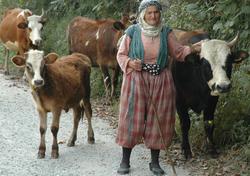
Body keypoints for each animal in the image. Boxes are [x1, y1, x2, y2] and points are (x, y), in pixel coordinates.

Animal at [173, 29, 249, 159]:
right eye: (206, 64)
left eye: (229, 62)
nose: (223, 86)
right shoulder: (179, 100)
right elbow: (185, 123)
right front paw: (186, 150)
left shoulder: (212, 99)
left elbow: (209, 123)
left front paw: (211, 148)